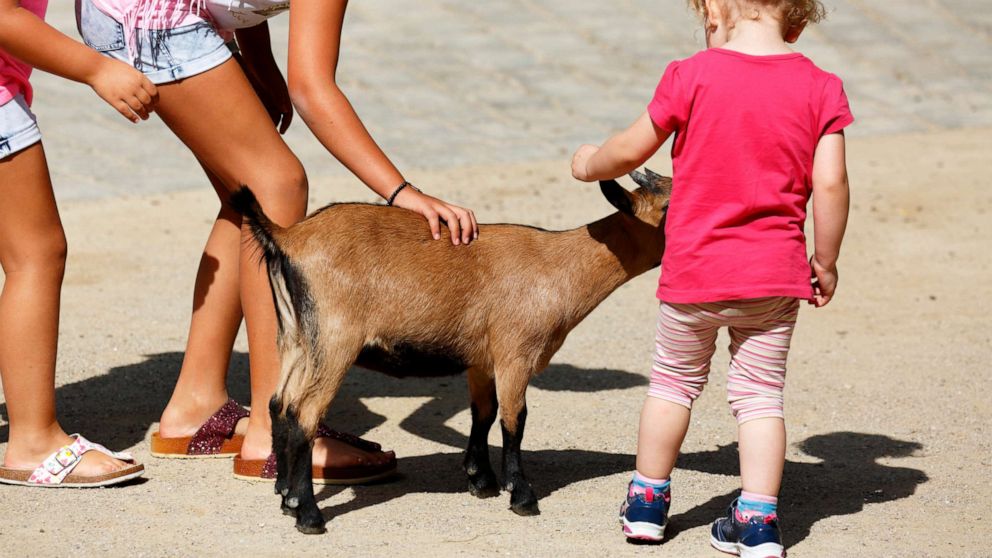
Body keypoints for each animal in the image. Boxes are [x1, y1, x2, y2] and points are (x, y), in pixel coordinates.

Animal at [234, 170, 676, 532]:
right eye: (667, 207)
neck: (557, 268)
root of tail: (289, 238)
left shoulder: (482, 360)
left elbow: (484, 413)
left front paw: (481, 479)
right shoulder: (515, 353)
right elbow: (514, 420)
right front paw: (521, 494)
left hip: (297, 338)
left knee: (280, 403)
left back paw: (285, 495)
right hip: (334, 339)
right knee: (304, 413)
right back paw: (308, 514)